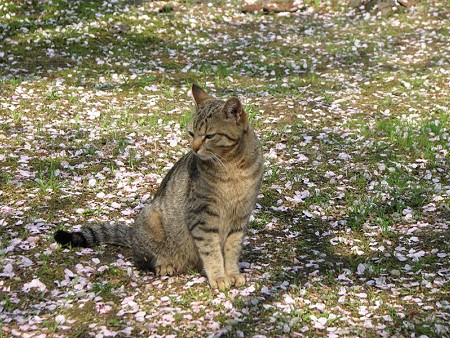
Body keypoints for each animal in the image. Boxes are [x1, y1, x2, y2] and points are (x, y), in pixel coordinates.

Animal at [54, 85, 264, 290]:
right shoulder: (202, 215)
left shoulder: (240, 215)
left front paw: (232, 273)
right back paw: (164, 265)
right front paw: (219, 276)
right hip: (151, 219)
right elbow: (211, 251)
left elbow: (231, 250)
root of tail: (132, 235)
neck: (232, 167)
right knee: (142, 259)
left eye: (209, 136)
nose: (194, 148)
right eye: (191, 133)